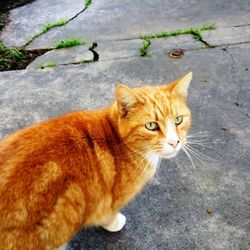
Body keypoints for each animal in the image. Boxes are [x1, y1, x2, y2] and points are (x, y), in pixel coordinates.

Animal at [0, 72, 192, 248]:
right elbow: (108, 215)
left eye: (178, 120)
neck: (117, 139)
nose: (174, 142)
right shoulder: (111, 202)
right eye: (151, 126)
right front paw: (115, 223)